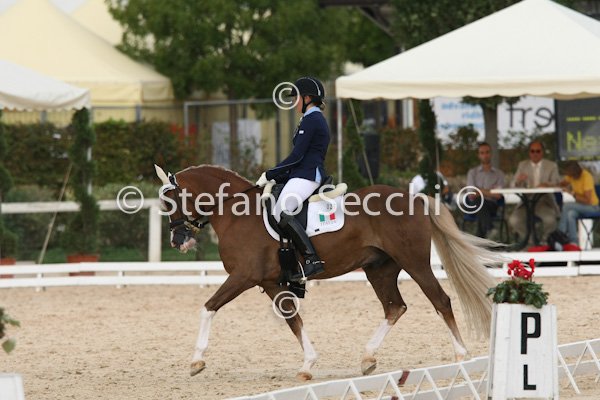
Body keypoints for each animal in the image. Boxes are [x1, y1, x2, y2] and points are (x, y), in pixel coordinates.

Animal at [154, 164, 501, 380]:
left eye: (171, 200)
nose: (178, 241)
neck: (236, 212)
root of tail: (414, 198)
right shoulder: (270, 282)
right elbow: (292, 319)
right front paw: (308, 365)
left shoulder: (244, 277)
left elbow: (208, 307)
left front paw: (196, 361)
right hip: (379, 269)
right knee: (395, 307)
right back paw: (367, 358)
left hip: (414, 262)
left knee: (440, 300)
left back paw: (461, 354)